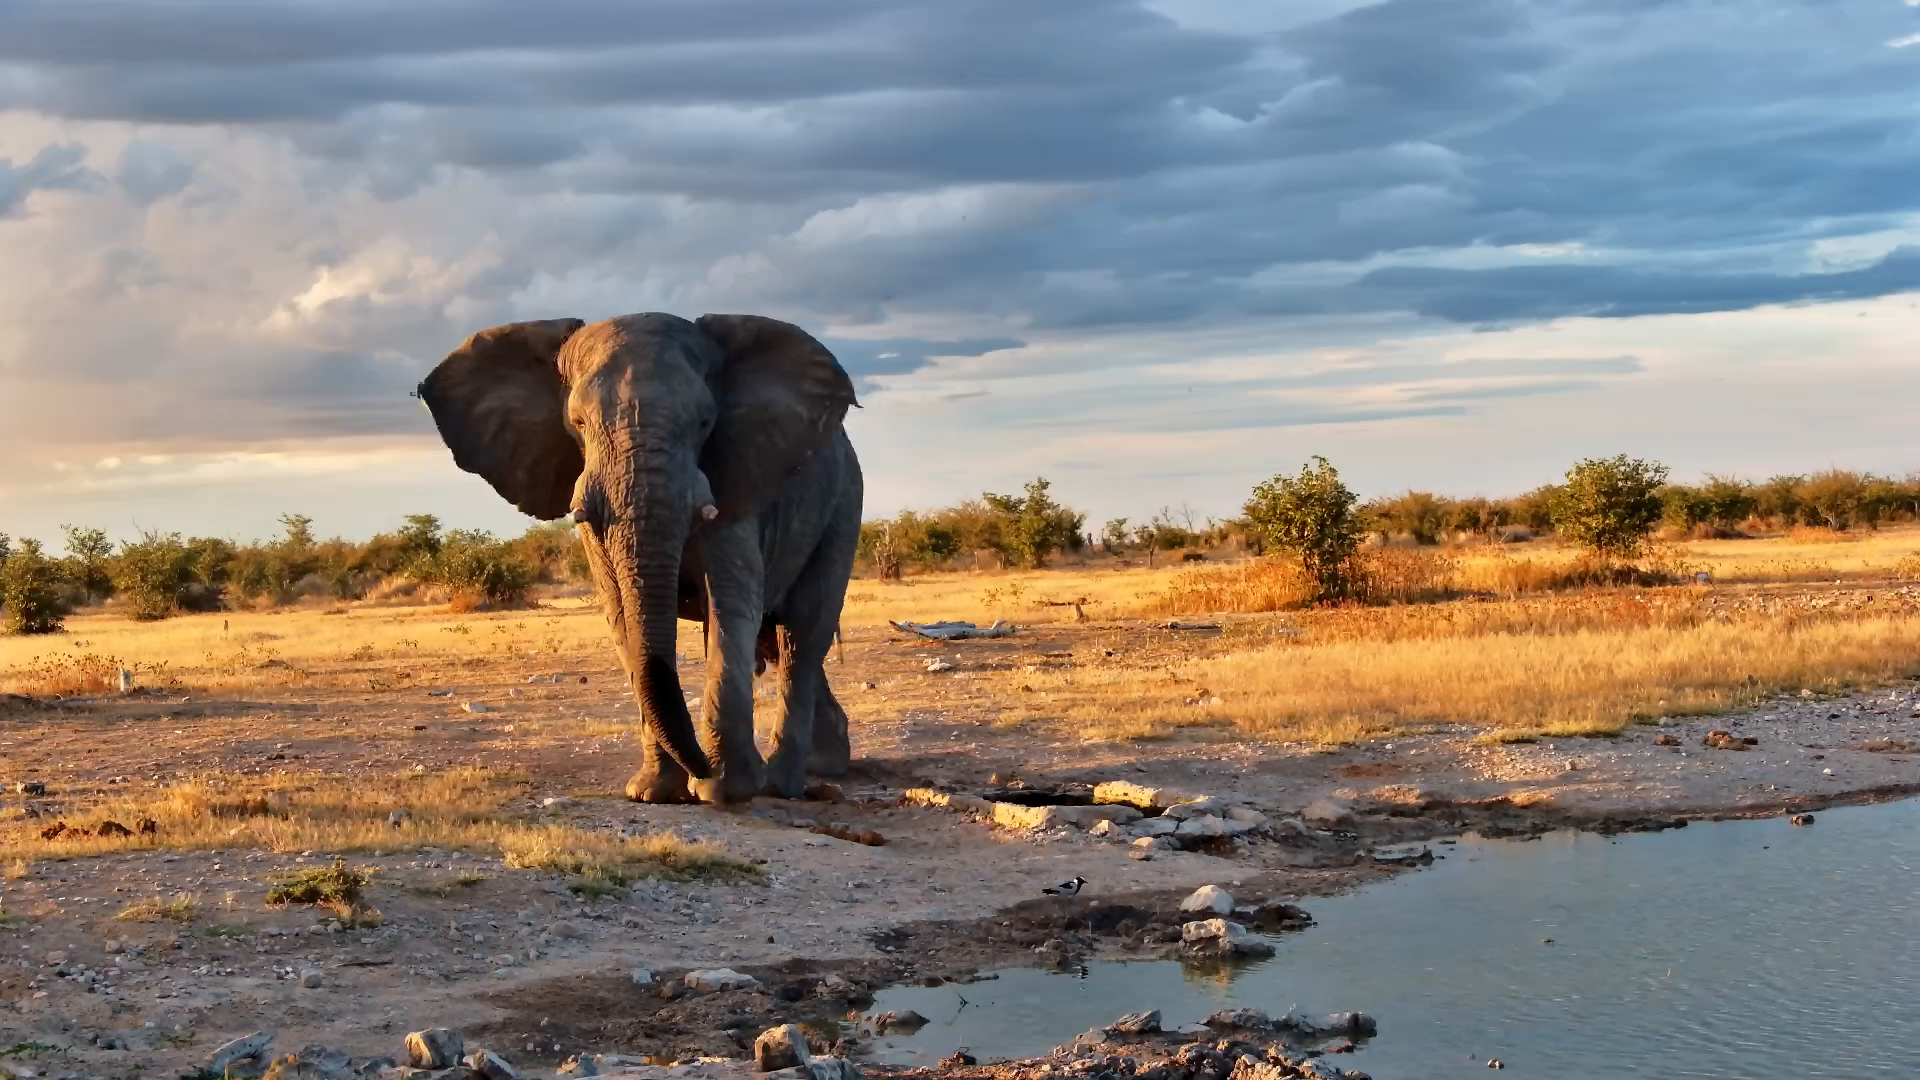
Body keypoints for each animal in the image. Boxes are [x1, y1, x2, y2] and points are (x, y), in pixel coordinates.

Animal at [416, 313, 863, 804]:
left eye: (705, 421)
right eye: (577, 422)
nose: (700, 768)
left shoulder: (733, 483)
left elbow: (731, 603)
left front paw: (725, 790)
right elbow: (620, 613)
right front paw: (655, 793)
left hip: (845, 505)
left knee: (803, 630)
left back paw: (785, 784)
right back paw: (824, 764)